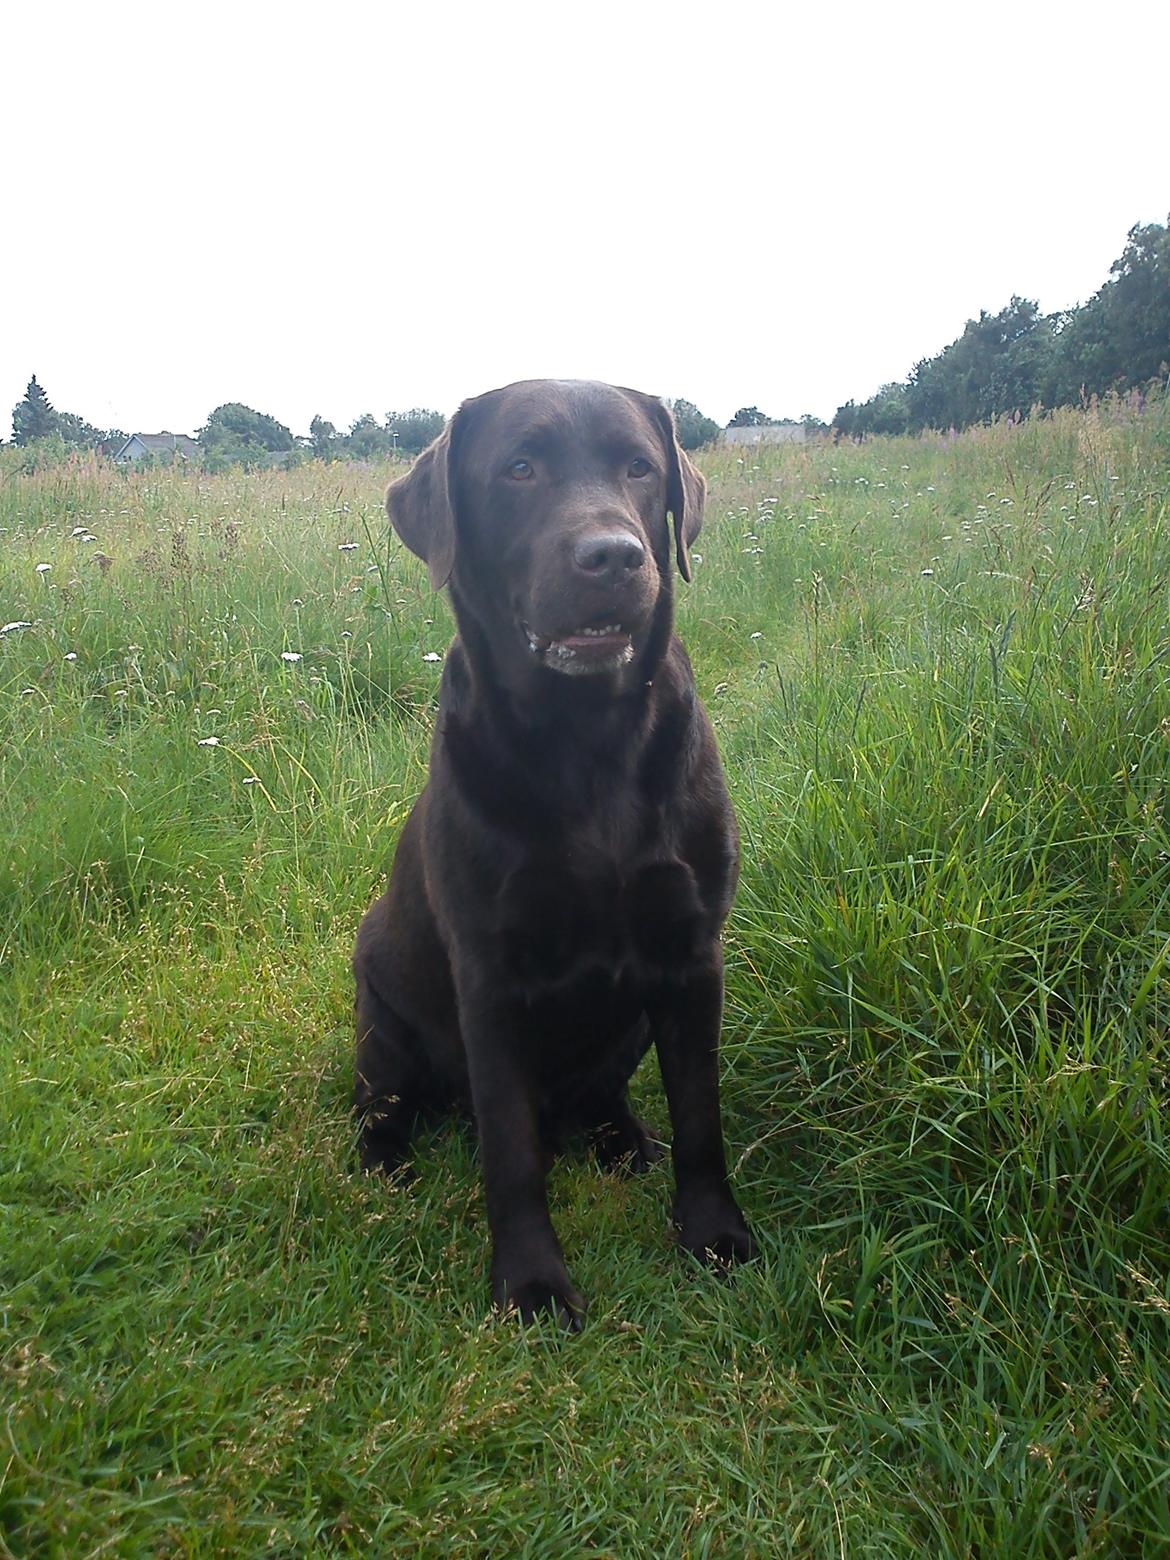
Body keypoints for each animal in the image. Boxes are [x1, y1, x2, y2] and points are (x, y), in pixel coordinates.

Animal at [357, 377, 755, 1329]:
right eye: (519, 469)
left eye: (640, 468)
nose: (612, 557)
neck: (589, 743)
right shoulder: (490, 979)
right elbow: (511, 1152)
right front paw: (531, 1284)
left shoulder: (692, 954)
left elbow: (702, 1115)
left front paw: (713, 1232)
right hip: (379, 1012)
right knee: (381, 1105)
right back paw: (386, 1163)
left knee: (600, 1096)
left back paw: (625, 1141)